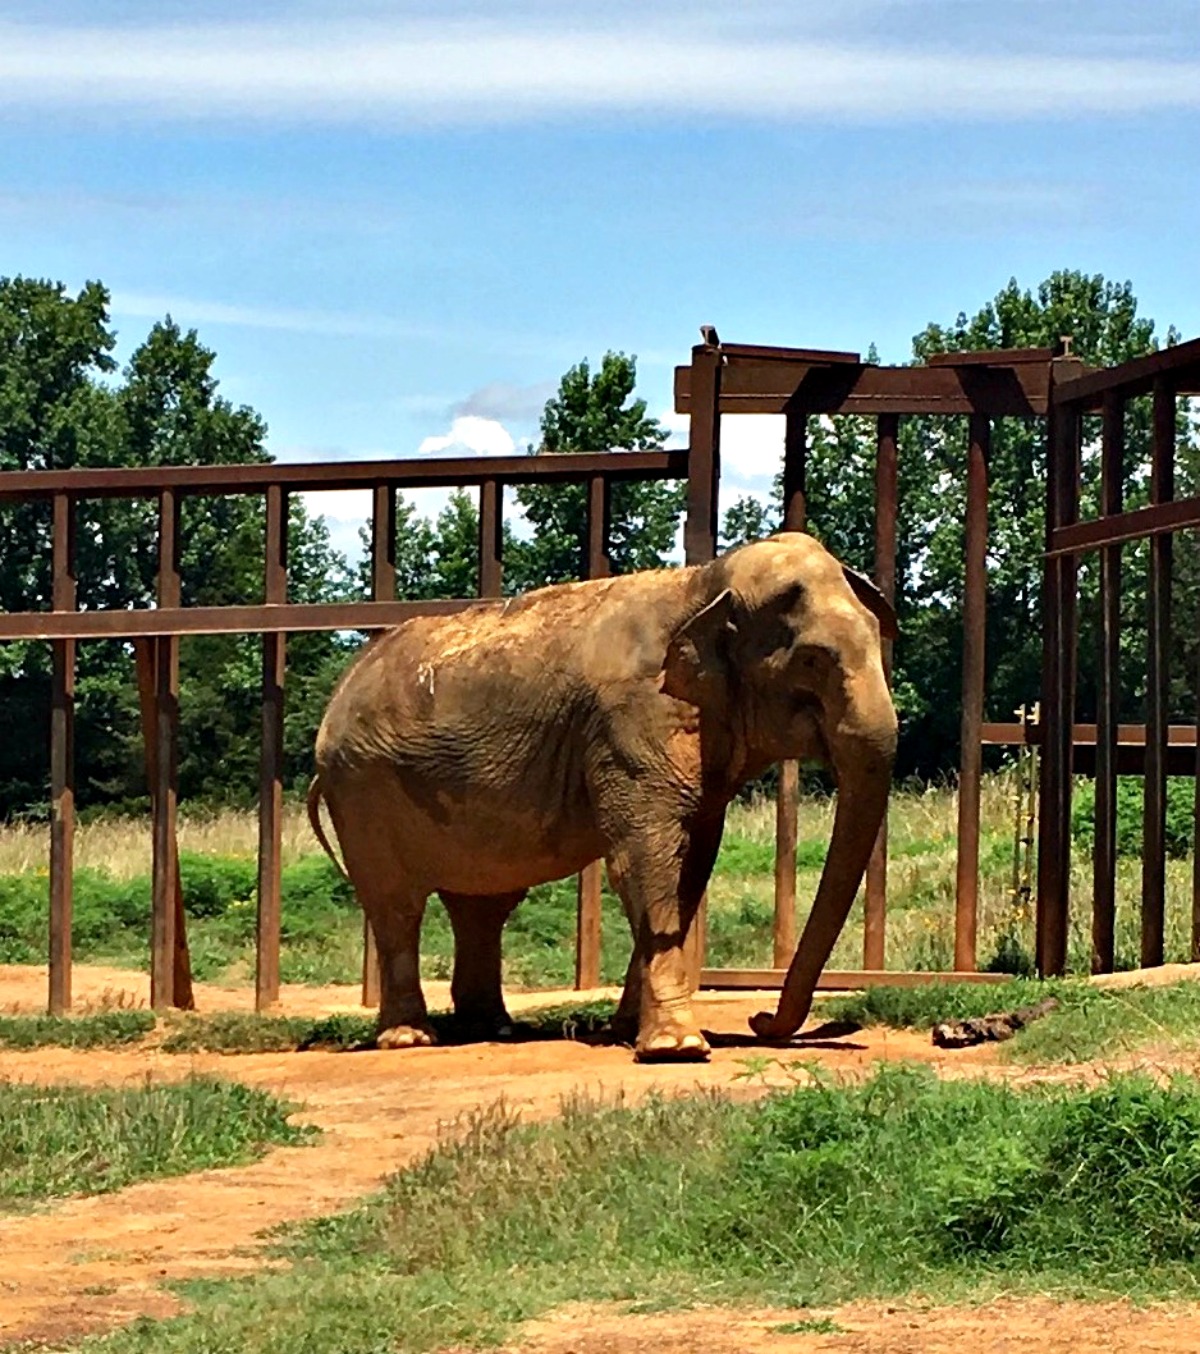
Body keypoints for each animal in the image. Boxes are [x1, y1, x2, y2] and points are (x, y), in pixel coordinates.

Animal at [307, 531, 897, 1062]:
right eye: (813, 662)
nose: (760, 1018)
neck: (702, 585)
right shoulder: (628, 721)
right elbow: (645, 861)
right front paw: (677, 1050)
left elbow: (690, 869)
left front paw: (628, 1030)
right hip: (362, 790)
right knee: (396, 906)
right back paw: (410, 1040)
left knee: (482, 906)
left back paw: (494, 1029)